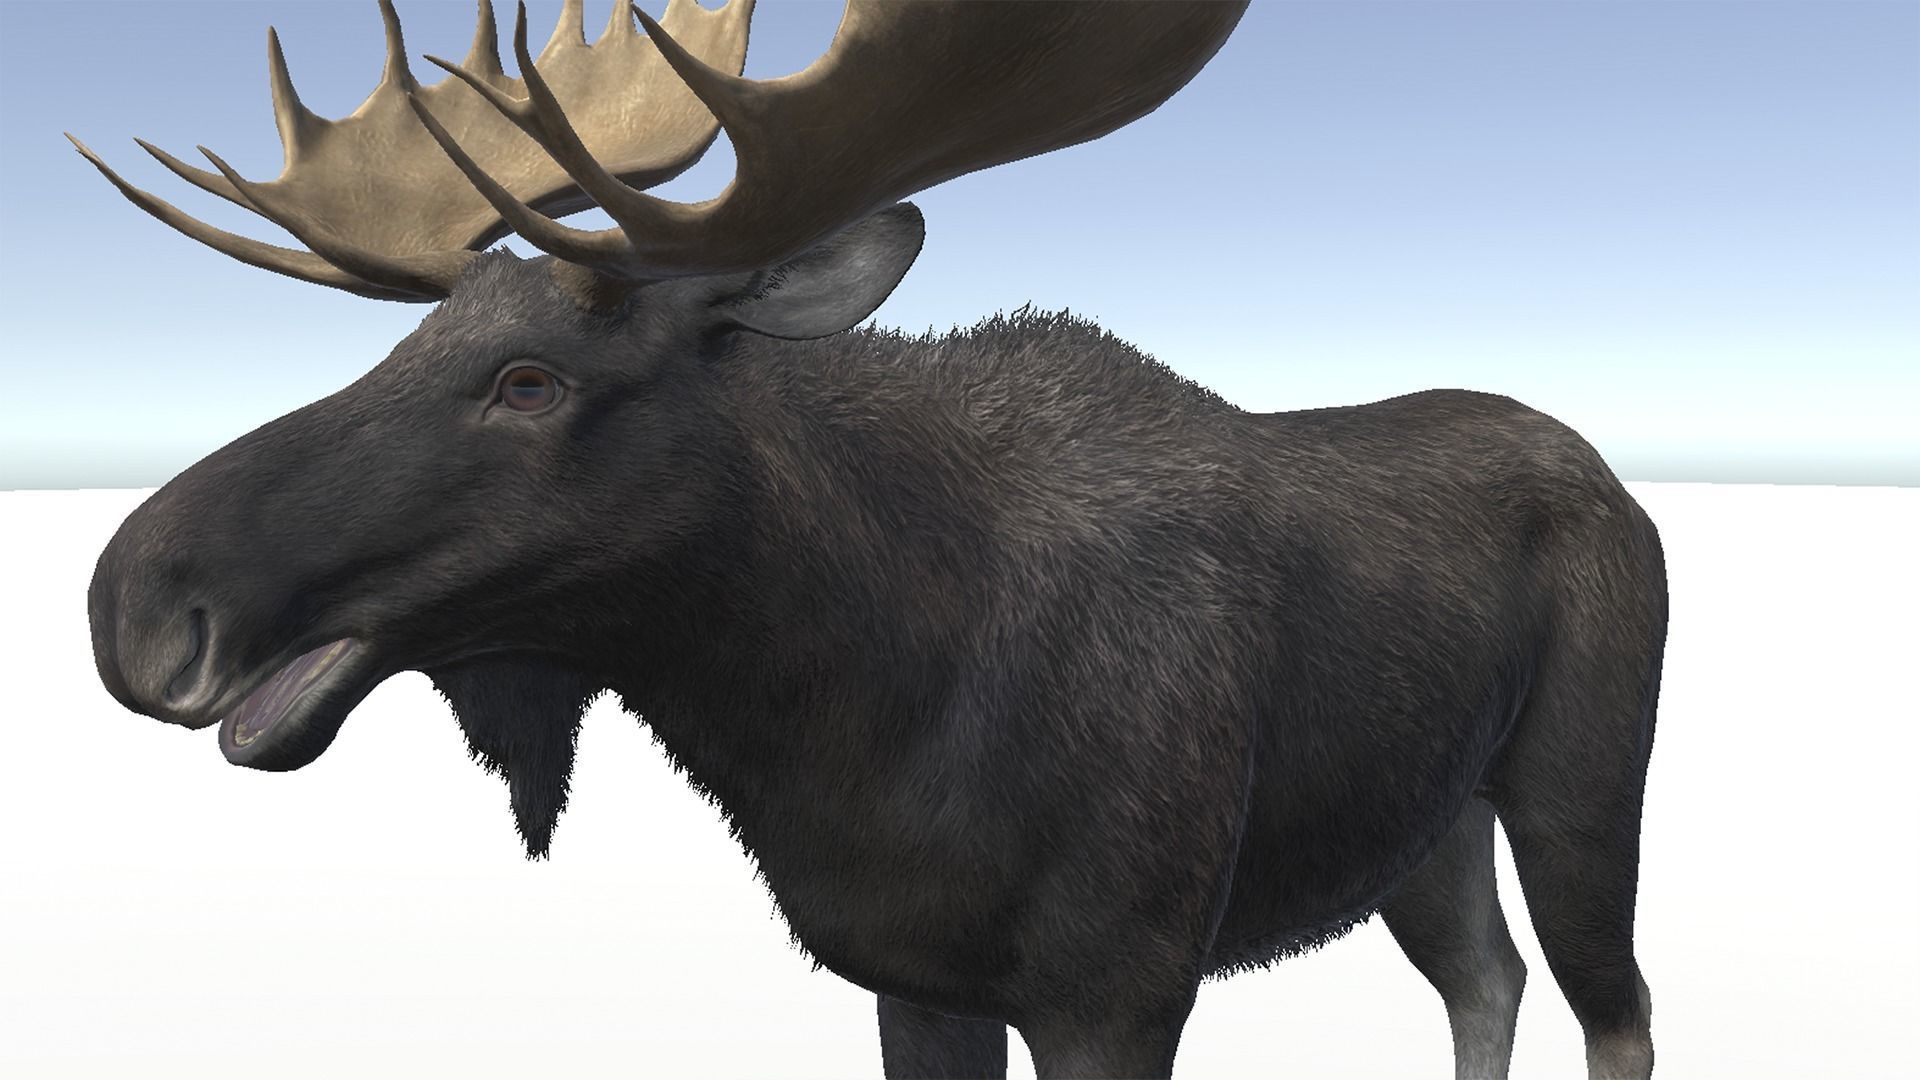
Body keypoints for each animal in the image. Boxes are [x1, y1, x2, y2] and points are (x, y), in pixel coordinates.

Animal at [73, 2, 1666, 1077]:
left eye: (531, 381)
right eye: (414, 341)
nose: (135, 602)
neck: (855, 714)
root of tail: (1610, 475)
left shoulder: (1123, 982)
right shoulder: (917, 977)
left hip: (1580, 784)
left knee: (1618, 1006)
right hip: (1428, 824)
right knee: (1483, 979)